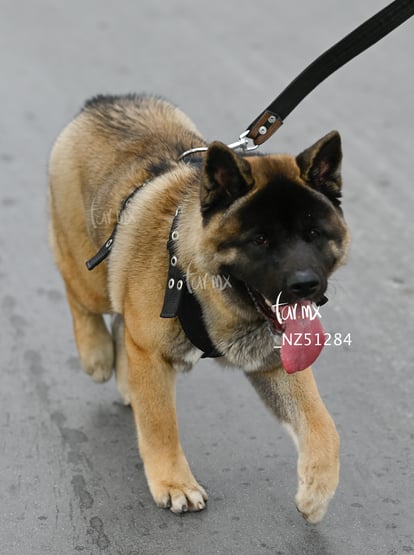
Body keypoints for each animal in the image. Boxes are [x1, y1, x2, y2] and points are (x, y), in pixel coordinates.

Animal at [48, 93, 350, 524]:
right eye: (260, 240)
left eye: (313, 234)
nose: (305, 285)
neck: (201, 282)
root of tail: (106, 101)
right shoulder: (152, 356)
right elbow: (161, 426)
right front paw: (174, 483)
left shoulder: (275, 365)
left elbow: (322, 423)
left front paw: (317, 489)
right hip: (88, 274)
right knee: (78, 294)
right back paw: (96, 354)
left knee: (122, 325)